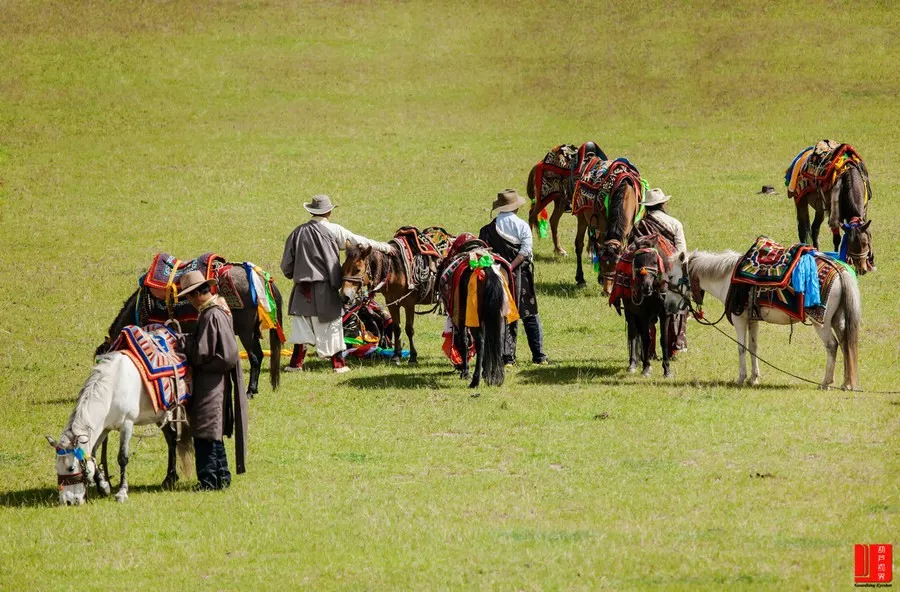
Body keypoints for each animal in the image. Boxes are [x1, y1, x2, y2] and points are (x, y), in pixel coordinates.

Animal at [47, 352, 192, 504]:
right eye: (56, 468)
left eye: (71, 468)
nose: (67, 501)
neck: (113, 389)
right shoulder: (104, 428)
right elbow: (93, 453)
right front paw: (104, 486)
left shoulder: (126, 424)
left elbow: (122, 458)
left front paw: (122, 492)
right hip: (160, 416)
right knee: (171, 439)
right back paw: (170, 479)